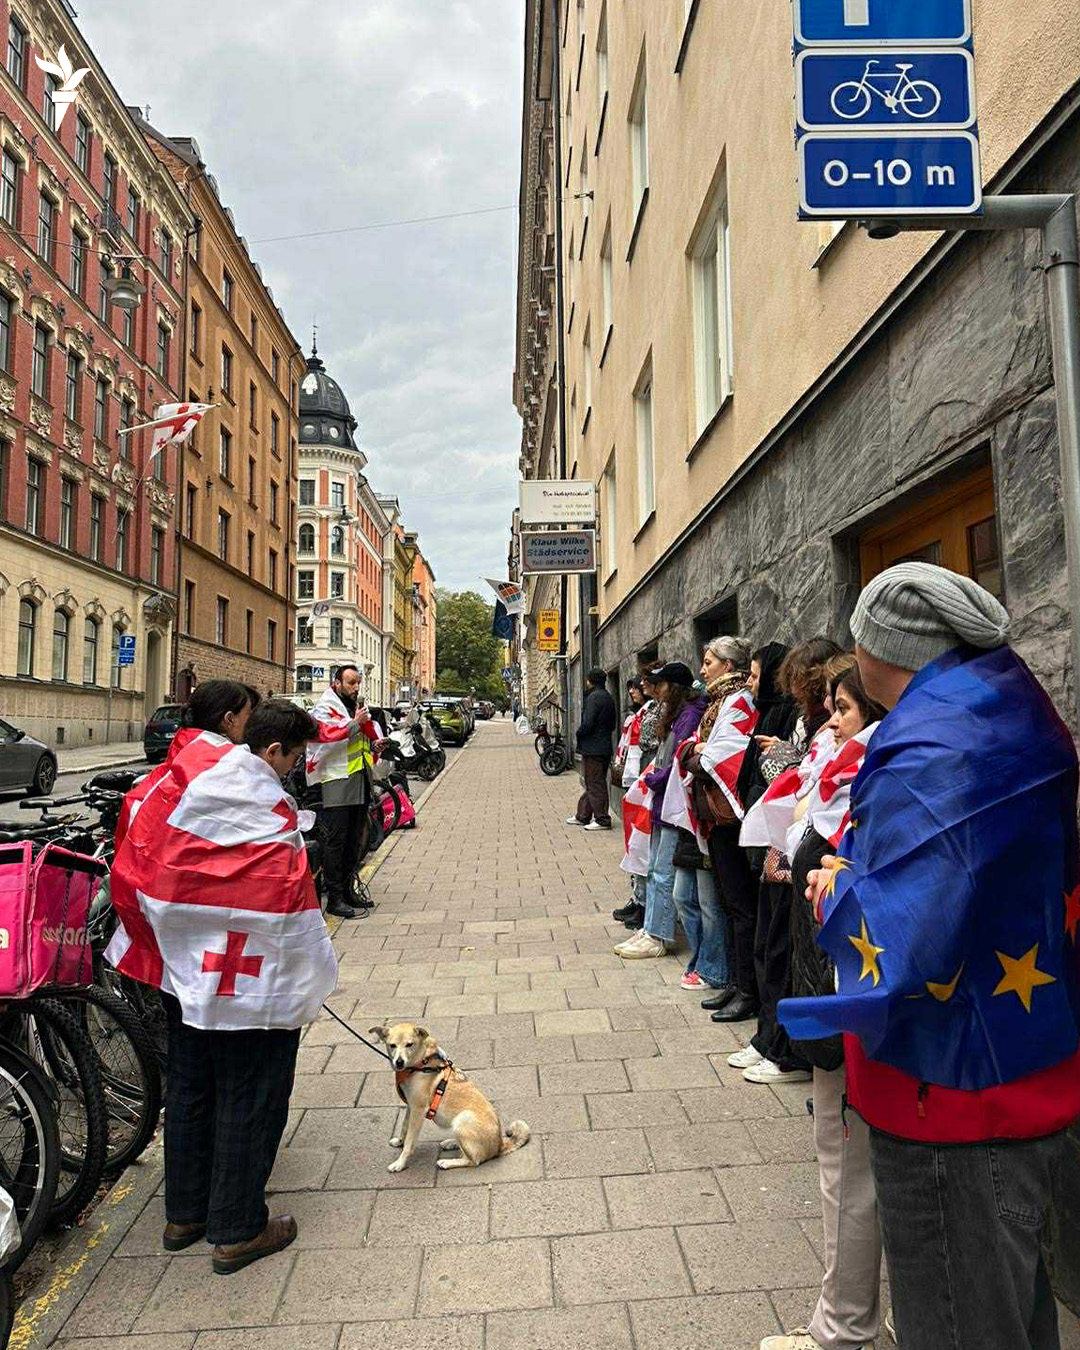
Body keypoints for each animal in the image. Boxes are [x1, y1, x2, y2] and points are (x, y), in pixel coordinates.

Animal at [370, 1022, 530, 1173]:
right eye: (392, 1045)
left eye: (409, 1044)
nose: (399, 1062)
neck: (420, 1062)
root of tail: (499, 1144)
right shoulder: (411, 1106)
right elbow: (404, 1127)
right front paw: (399, 1141)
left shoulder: (418, 1110)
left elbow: (409, 1142)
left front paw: (400, 1163)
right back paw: (451, 1142)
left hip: (463, 1119)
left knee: (473, 1160)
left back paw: (447, 1162)